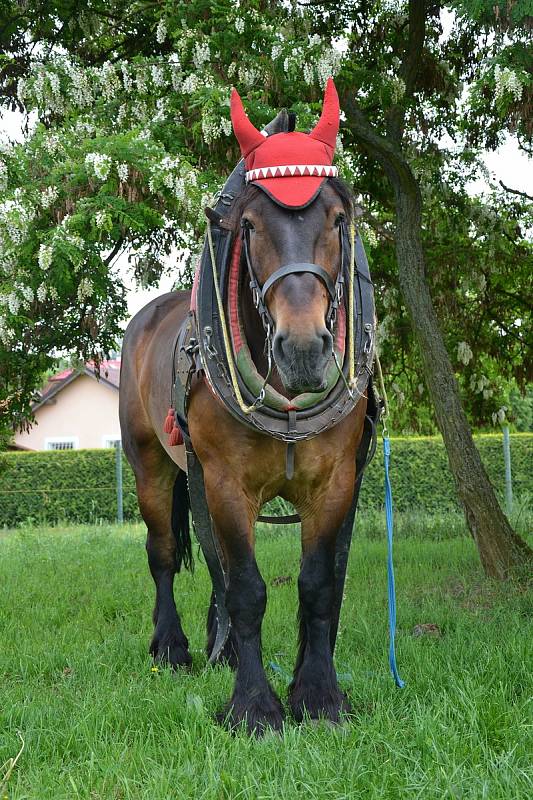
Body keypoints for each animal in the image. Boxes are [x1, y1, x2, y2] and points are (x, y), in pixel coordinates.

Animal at [121, 84, 374, 736]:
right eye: (251, 226)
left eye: (338, 219)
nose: (305, 349)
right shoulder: (227, 482)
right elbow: (248, 589)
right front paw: (255, 705)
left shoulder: (336, 483)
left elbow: (317, 584)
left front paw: (318, 694)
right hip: (151, 465)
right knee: (165, 554)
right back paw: (172, 647)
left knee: (212, 561)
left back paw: (225, 648)